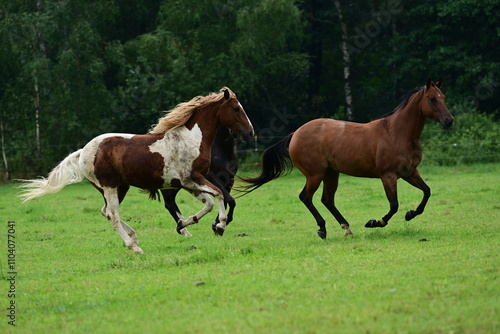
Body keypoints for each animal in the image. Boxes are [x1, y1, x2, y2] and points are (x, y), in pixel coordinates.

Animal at [19, 87, 254, 252]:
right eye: (236, 108)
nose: (250, 133)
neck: (191, 139)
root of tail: (82, 152)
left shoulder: (189, 184)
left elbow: (209, 203)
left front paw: (184, 225)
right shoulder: (192, 179)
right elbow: (219, 195)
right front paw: (220, 226)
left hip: (119, 187)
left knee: (105, 212)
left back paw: (134, 237)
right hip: (110, 186)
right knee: (112, 215)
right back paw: (134, 247)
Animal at [240, 79, 456, 239]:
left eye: (443, 97)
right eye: (432, 99)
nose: (449, 121)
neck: (396, 133)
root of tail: (295, 134)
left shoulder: (410, 172)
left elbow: (427, 191)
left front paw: (410, 214)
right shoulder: (388, 176)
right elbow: (394, 205)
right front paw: (375, 222)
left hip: (331, 173)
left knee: (327, 200)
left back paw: (346, 228)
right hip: (315, 174)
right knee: (306, 197)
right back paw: (322, 229)